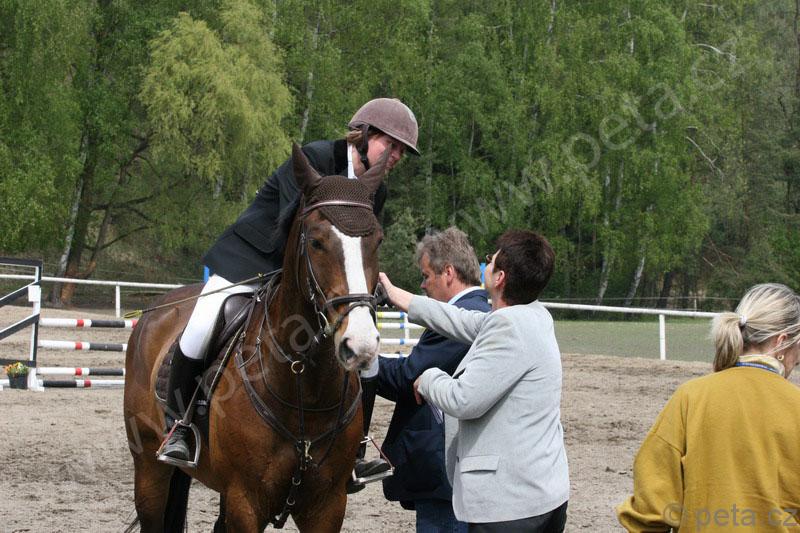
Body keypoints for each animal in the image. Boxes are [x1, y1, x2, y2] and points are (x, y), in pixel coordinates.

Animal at [123, 144, 388, 532]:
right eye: (316, 241)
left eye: (377, 240)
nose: (360, 344)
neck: (305, 386)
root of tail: (156, 308)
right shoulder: (246, 501)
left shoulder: (328, 505)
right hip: (150, 471)